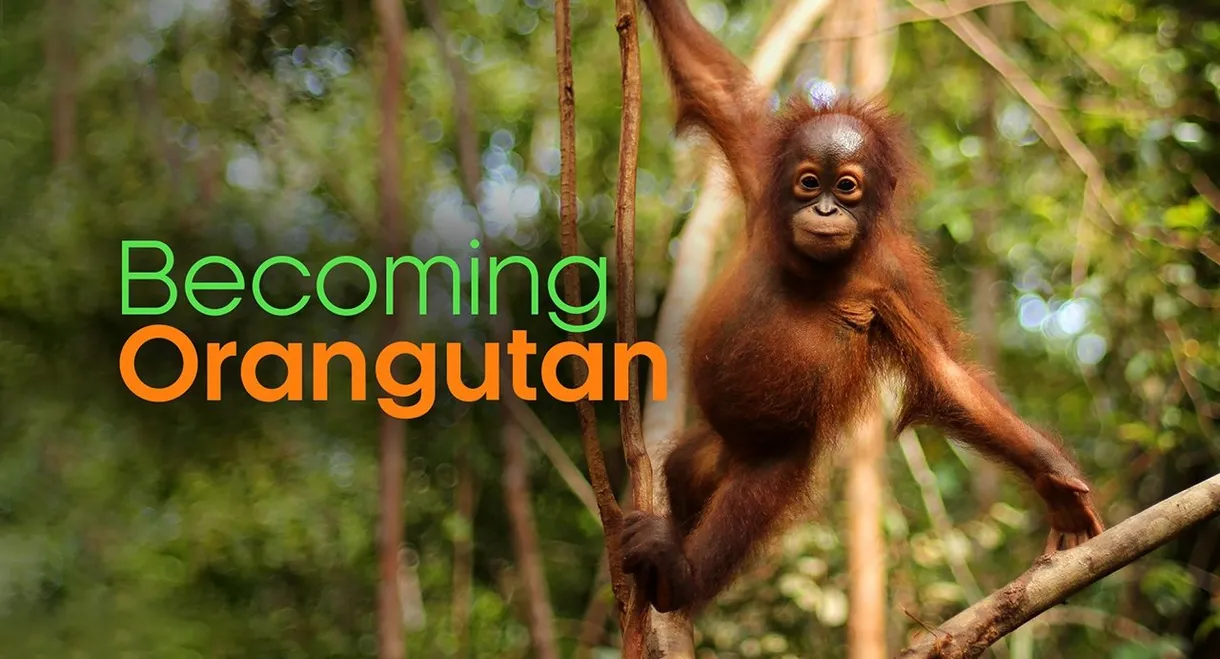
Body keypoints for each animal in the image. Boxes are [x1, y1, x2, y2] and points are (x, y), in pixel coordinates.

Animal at [620, 0, 1106, 615]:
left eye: (847, 187)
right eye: (809, 182)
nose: (826, 210)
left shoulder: (894, 278)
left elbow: (944, 375)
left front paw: (1054, 480)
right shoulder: (760, 167)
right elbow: (714, 87)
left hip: (776, 461)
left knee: (748, 504)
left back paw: (678, 575)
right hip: (712, 450)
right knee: (684, 470)